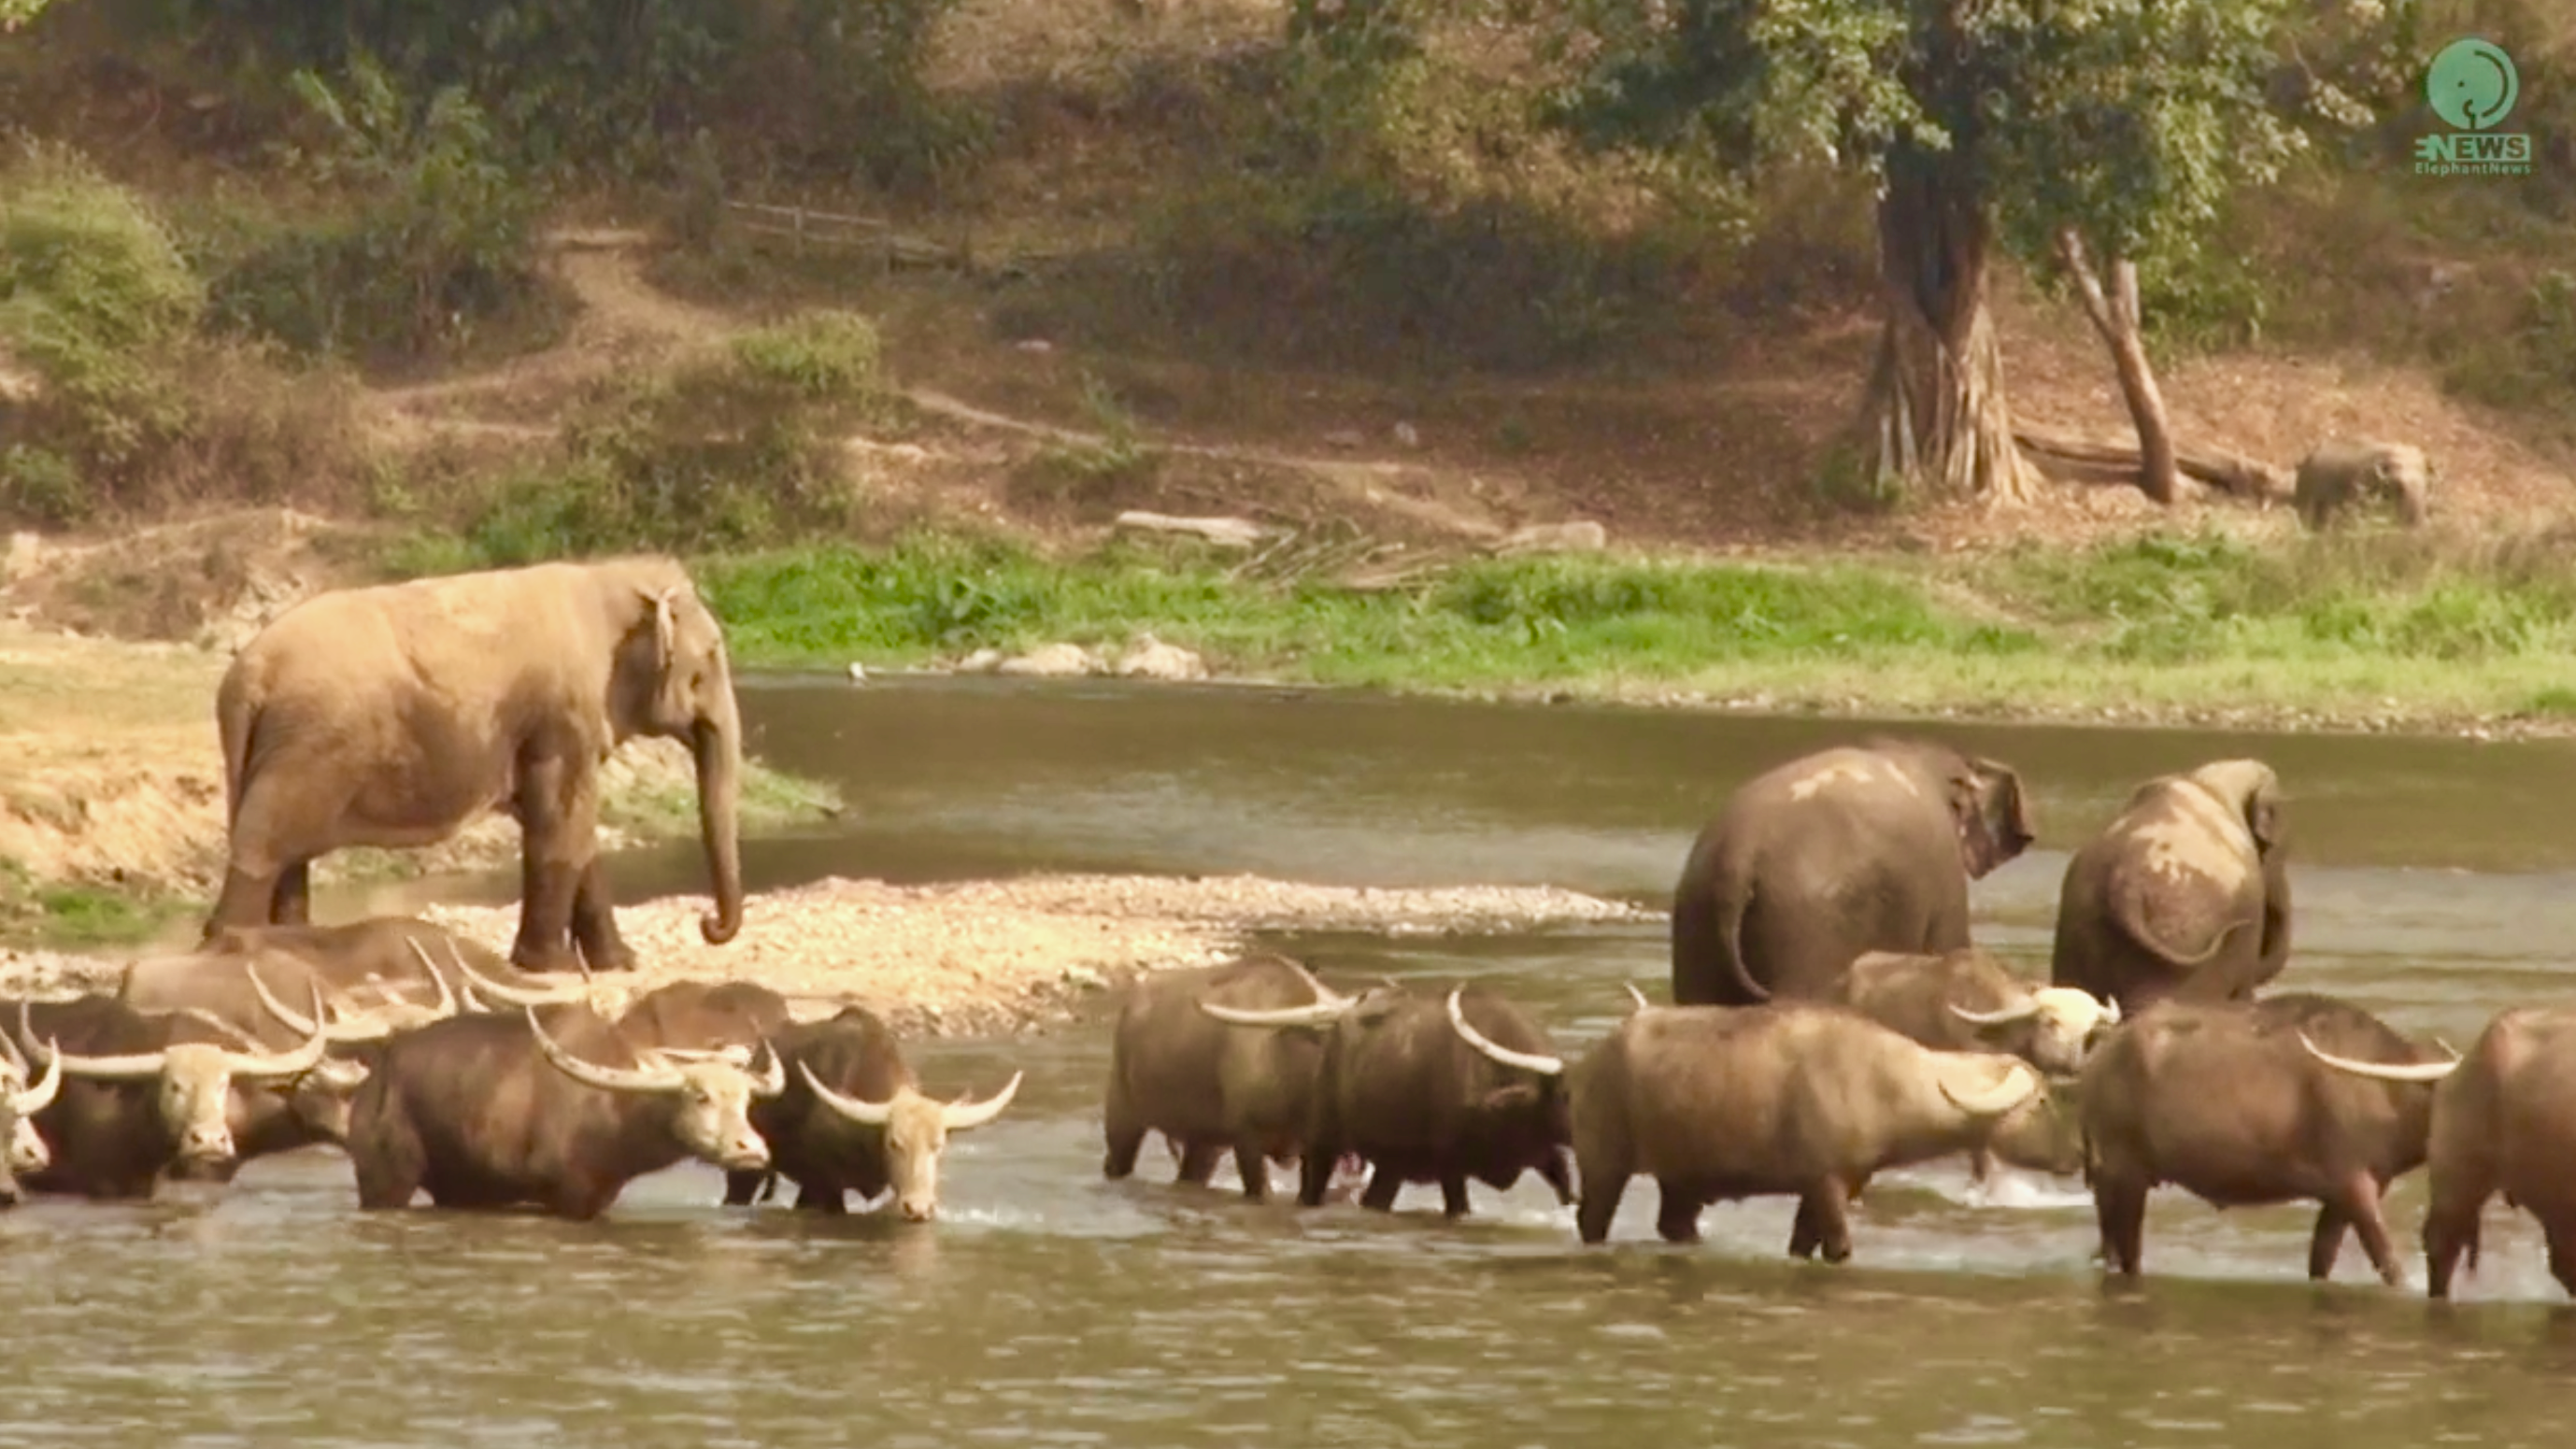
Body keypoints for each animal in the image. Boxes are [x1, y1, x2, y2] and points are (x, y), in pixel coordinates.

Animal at [201, 557, 746, 976]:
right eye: (711, 658)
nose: (708, 924)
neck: (608, 575)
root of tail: (246, 677)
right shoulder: (562, 717)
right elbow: (561, 825)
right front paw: (548, 968)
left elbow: (576, 832)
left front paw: (619, 964)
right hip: (307, 748)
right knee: (264, 847)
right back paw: (232, 953)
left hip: (275, 751)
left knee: (283, 855)